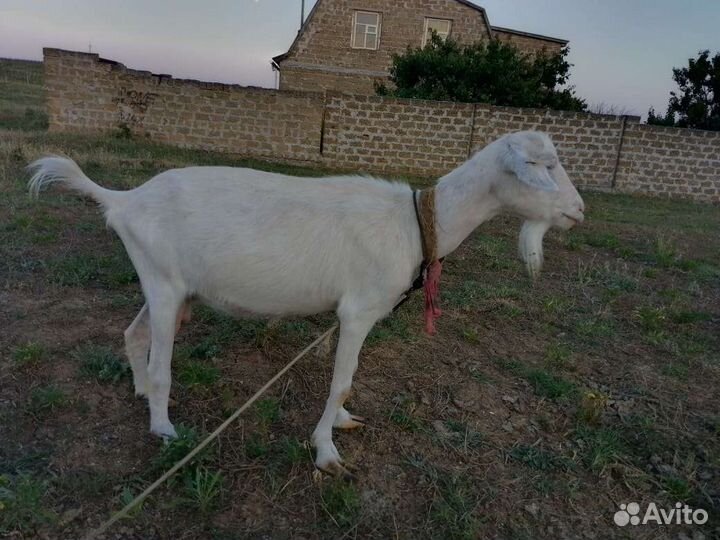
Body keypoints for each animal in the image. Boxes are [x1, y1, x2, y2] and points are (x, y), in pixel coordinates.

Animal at [28, 131, 584, 475]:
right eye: (545, 165)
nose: (579, 211)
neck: (415, 223)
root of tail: (123, 200)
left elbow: (346, 384)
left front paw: (340, 423)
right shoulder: (357, 312)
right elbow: (341, 381)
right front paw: (326, 449)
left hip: (168, 285)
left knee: (134, 332)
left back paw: (142, 391)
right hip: (164, 285)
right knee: (161, 358)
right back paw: (163, 425)